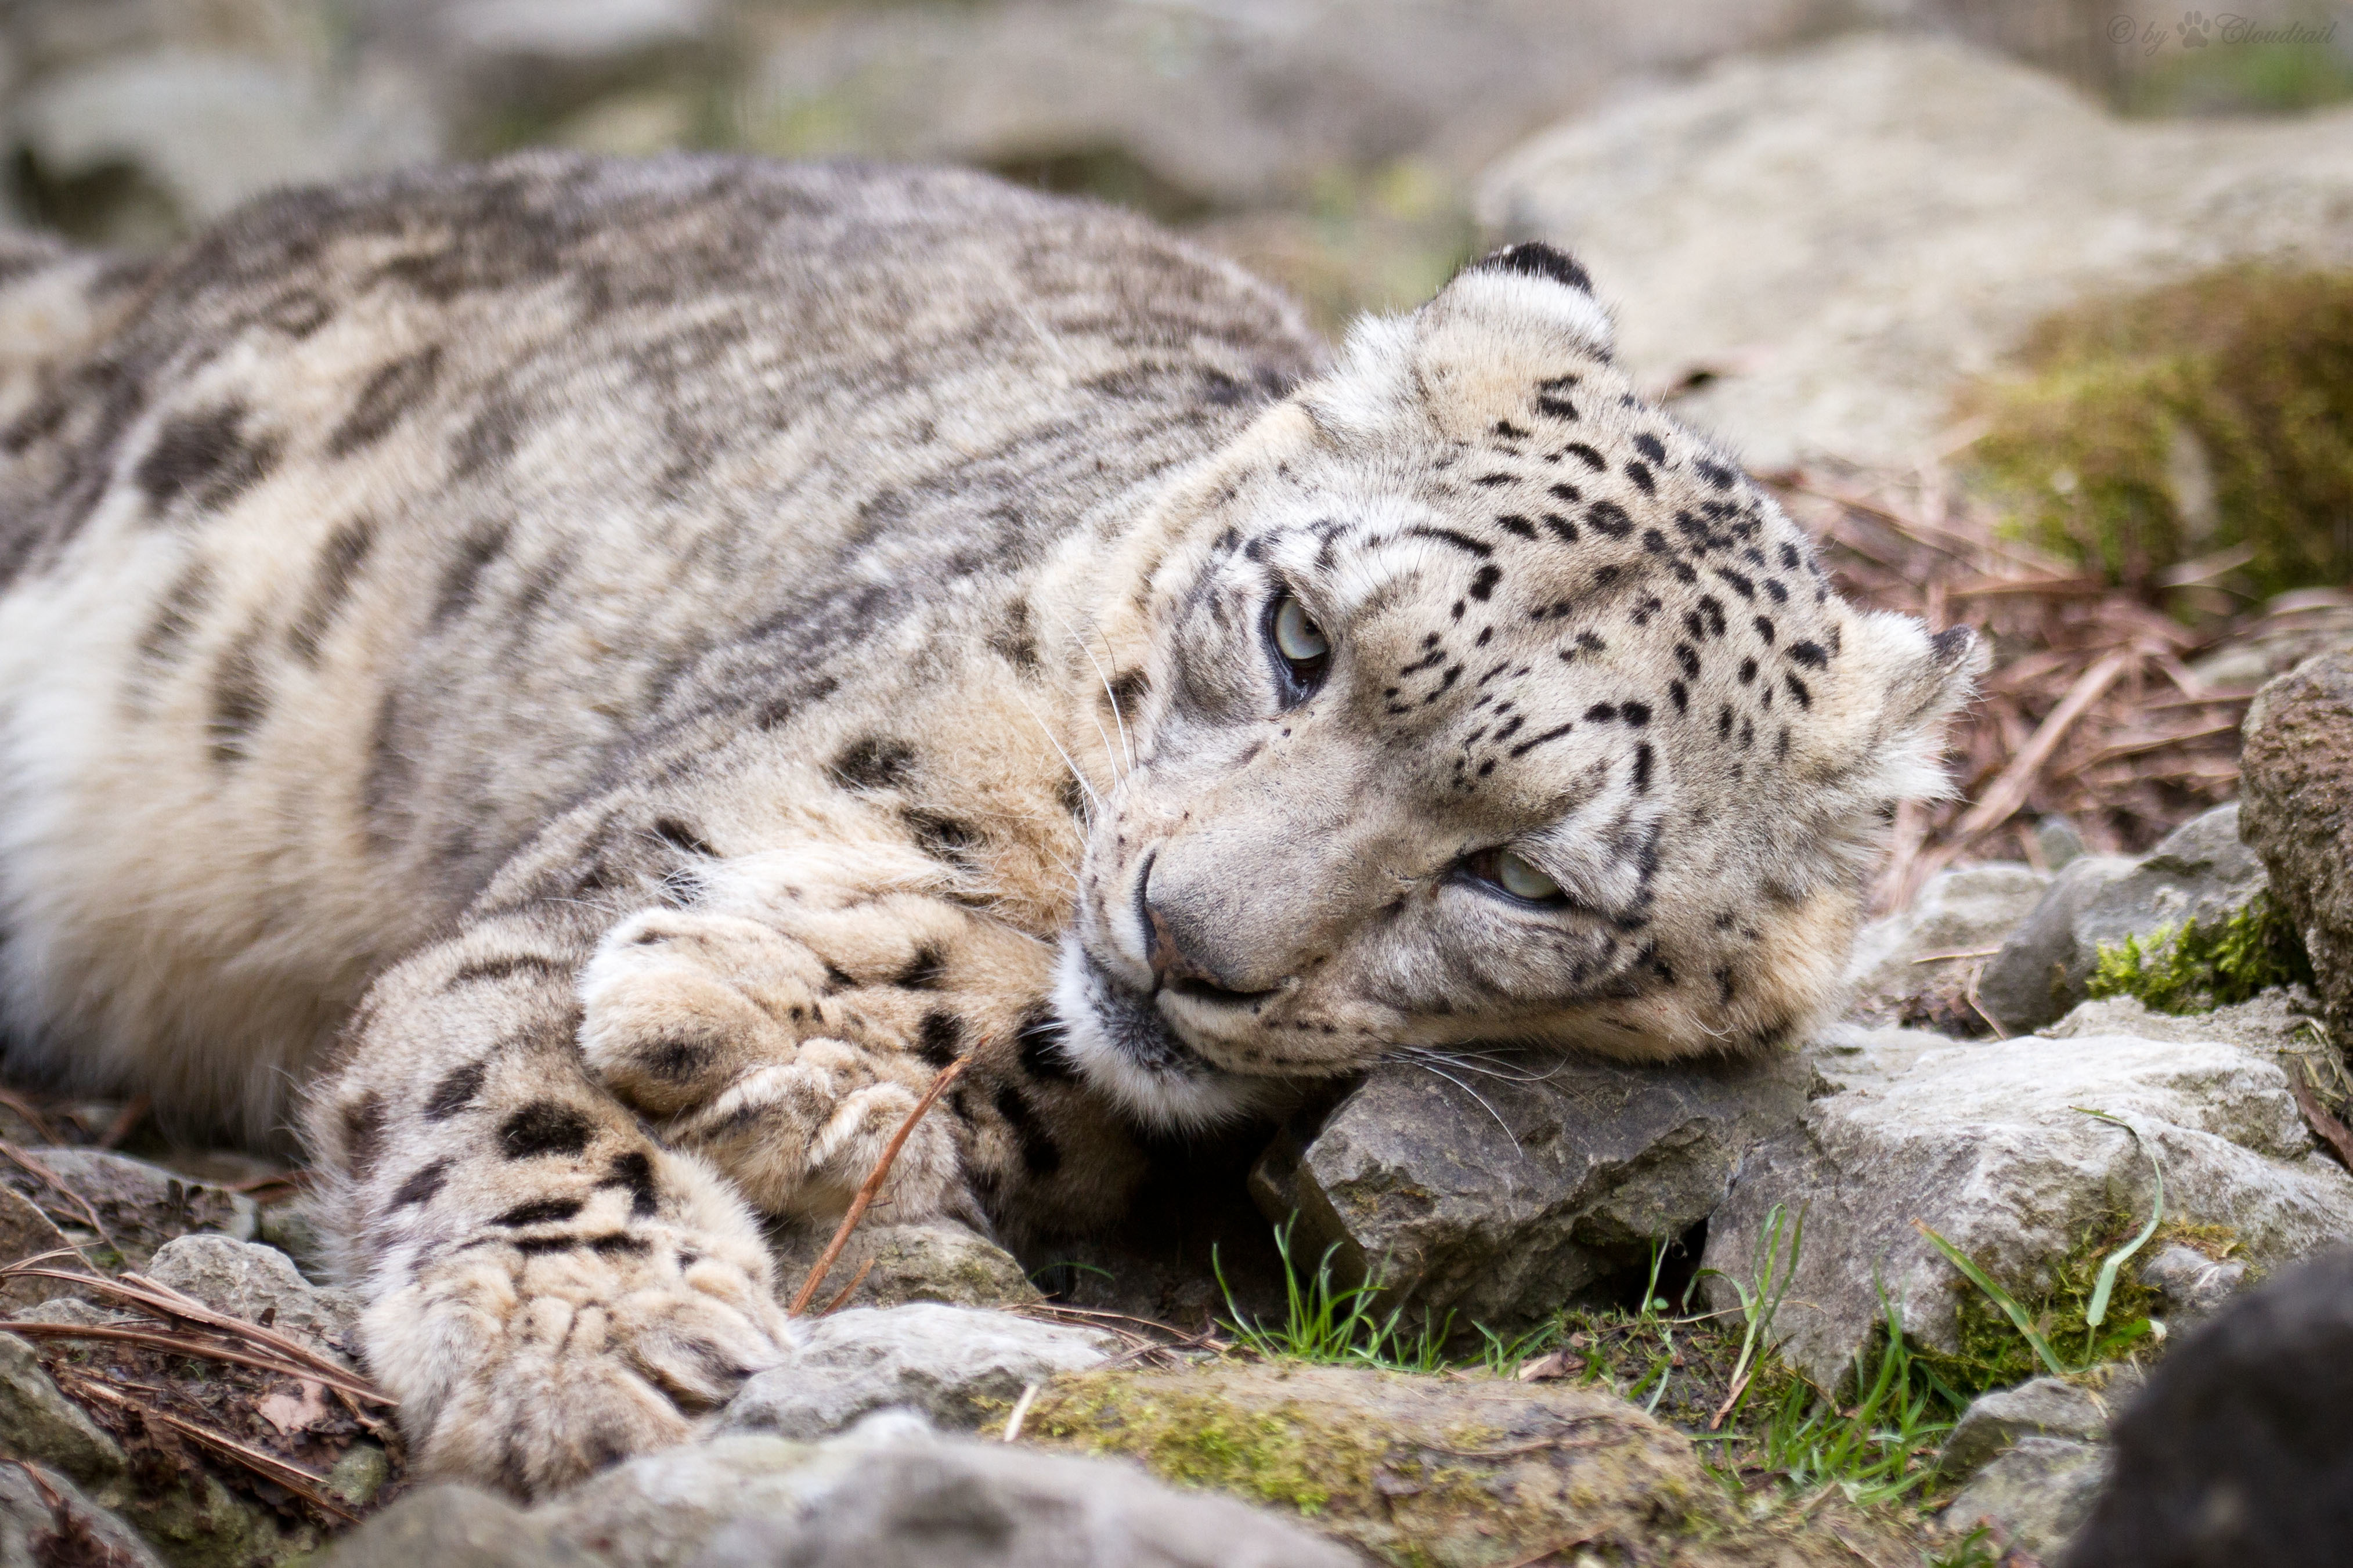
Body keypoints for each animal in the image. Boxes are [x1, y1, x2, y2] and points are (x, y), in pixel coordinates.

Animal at [0, 156, 1986, 1495]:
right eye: (1296, 634)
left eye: (1519, 875)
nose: (1183, 939)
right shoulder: (614, 857)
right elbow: (521, 1075)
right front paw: (595, 1349)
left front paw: (775, 1041)